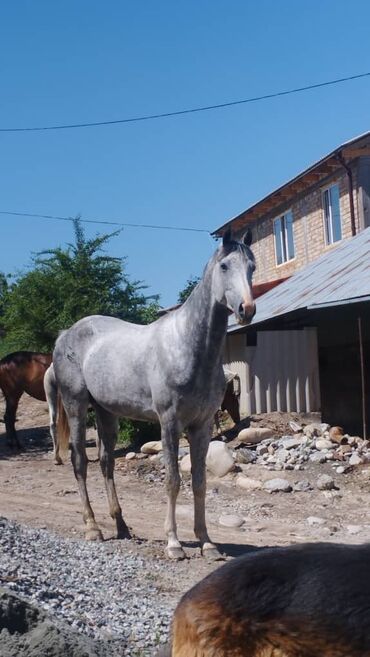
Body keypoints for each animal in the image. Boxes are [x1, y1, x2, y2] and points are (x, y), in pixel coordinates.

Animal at [52, 228, 254, 556]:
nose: (246, 309)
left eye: (252, 267)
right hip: (76, 405)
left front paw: (206, 542)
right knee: (80, 461)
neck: (187, 347)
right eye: (225, 266)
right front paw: (173, 543)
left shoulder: (202, 425)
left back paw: (122, 527)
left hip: (106, 411)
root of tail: (65, 335)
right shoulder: (169, 423)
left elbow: (199, 482)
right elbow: (172, 480)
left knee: (106, 463)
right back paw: (93, 528)